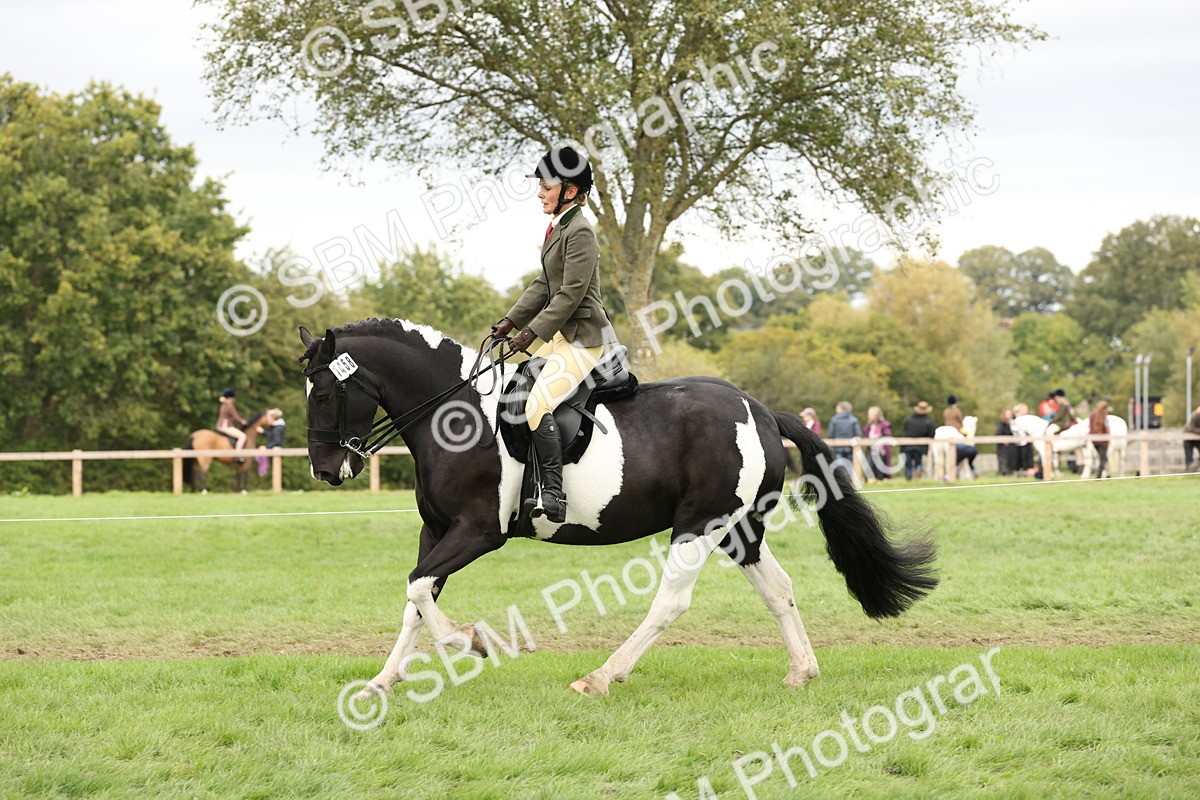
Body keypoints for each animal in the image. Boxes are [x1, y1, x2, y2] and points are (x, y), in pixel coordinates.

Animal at [298, 319, 937, 698]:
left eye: (325, 392)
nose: (326, 471)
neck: (454, 417)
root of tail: (757, 408)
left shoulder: (477, 531)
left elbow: (417, 588)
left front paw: (470, 642)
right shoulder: (436, 531)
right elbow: (417, 596)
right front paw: (383, 679)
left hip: (699, 527)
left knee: (670, 603)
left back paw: (603, 676)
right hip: (739, 529)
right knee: (778, 590)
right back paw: (802, 671)